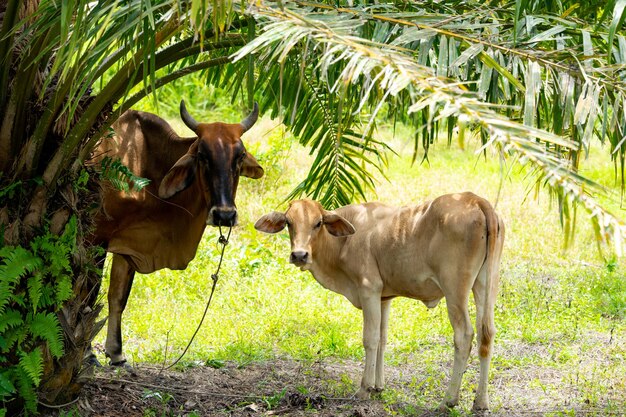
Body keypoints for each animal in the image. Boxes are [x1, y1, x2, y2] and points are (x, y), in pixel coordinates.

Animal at [90, 102, 260, 366]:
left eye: (240, 155)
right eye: (202, 155)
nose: (225, 215)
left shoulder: (127, 245)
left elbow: (117, 297)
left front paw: (116, 352)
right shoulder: (96, 237)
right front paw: (88, 355)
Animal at [256, 193, 504, 410]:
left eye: (318, 223)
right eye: (289, 222)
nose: (299, 255)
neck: (345, 242)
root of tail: (475, 199)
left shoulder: (369, 290)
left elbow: (371, 339)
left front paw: (364, 388)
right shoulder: (385, 298)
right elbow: (383, 339)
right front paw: (378, 386)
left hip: (454, 289)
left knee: (464, 336)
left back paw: (448, 400)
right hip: (486, 283)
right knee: (486, 334)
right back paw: (481, 402)